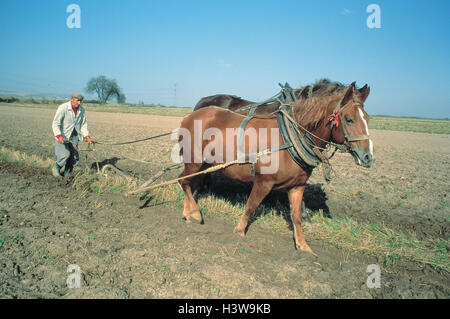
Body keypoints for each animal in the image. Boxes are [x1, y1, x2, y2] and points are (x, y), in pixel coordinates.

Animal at [178, 81, 372, 254]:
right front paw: (239, 232)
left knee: (190, 183)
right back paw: (195, 212)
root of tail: (190, 116)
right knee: (183, 181)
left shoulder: (297, 186)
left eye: (368, 118)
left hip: (203, 163)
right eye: (349, 119)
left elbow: (296, 216)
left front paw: (304, 247)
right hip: (194, 160)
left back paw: (188, 212)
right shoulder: (263, 182)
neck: (290, 137)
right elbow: (251, 206)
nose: (368, 156)